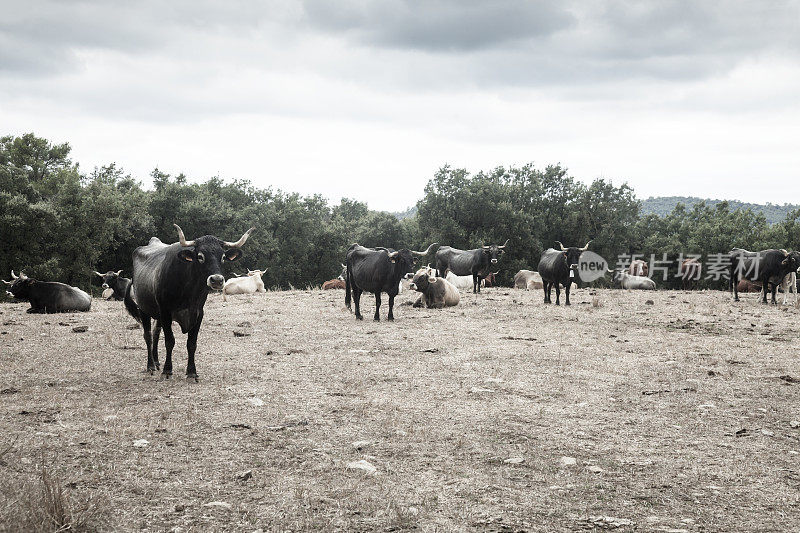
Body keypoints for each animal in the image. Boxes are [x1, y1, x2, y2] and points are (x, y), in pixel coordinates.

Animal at [124, 223, 253, 378]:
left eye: (222, 257)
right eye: (200, 256)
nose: (216, 280)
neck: (188, 290)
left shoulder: (198, 313)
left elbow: (192, 343)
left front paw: (192, 371)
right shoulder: (166, 312)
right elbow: (169, 341)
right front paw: (168, 369)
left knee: (155, 333)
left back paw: (156, 361)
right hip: (144, 309)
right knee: (148, 335)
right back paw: (150, 365)